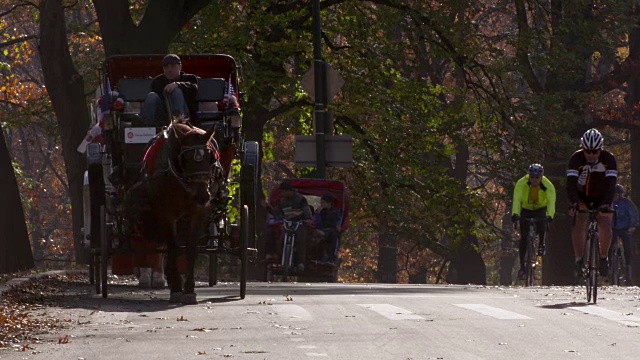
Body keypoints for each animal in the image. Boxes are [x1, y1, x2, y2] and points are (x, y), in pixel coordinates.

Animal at [126, 117, 224, 304]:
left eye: (211, 159)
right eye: (185, 159)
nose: (202, 196)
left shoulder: (197, 213)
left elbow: (190, 249)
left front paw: (189, 290)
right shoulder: (167, 214)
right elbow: (173, 247)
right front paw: (177, 288)